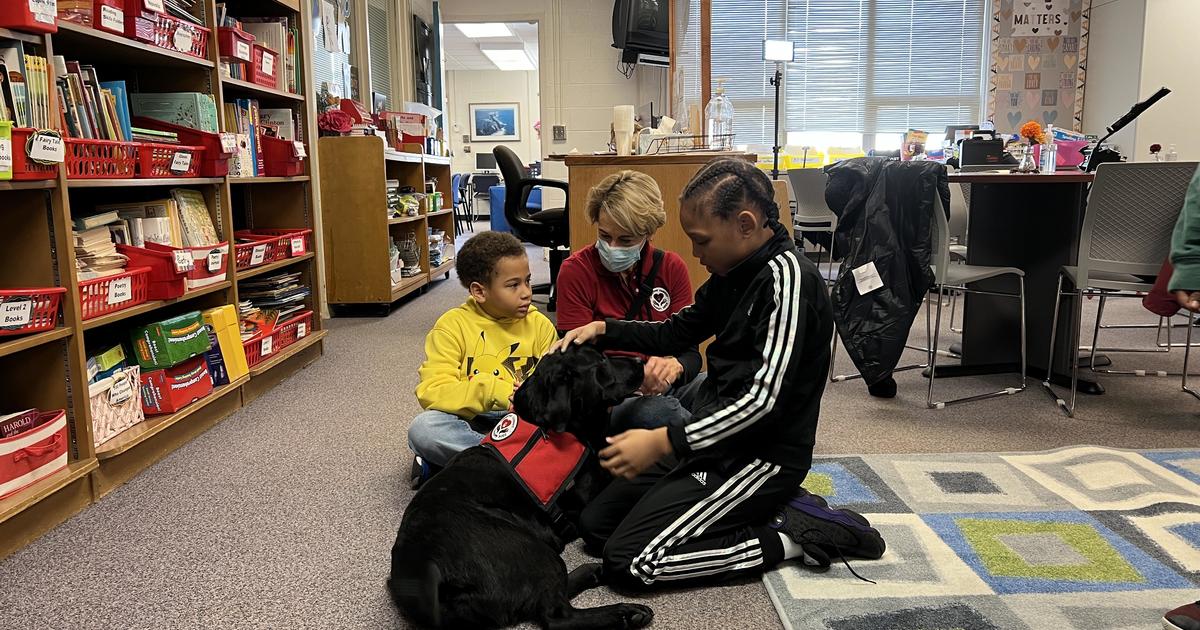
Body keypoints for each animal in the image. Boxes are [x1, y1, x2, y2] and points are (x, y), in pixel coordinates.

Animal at [391, 343, 657, 628]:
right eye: (602, 362)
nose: (641, 361)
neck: (548, 425)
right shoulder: (587, 489)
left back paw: (595, 572)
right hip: (536, 552)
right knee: (556, 615)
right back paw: (625, 611)